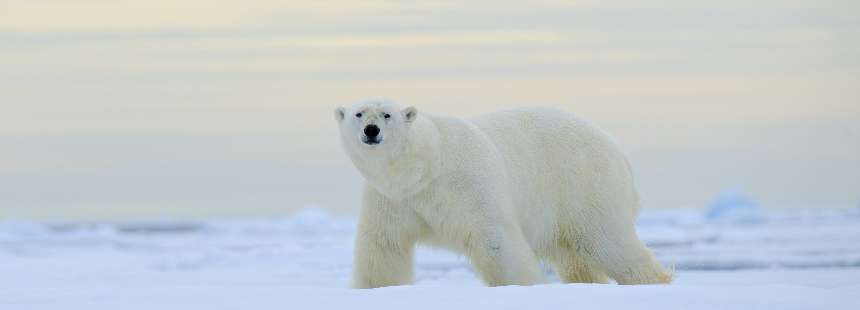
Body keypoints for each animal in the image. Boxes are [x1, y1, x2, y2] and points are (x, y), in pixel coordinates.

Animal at [334, 101, 672, 288]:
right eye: (359, 113)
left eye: (387, 114)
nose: (371, 130)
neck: (425, 166)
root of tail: (617, 149)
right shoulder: (392, 199)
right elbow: (383, 246)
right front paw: (376, 289)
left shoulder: (468, 184)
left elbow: (494, 239)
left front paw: (525, 286)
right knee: (574, 256)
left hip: (584, 184)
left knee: (608, 241)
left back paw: (653, 281)